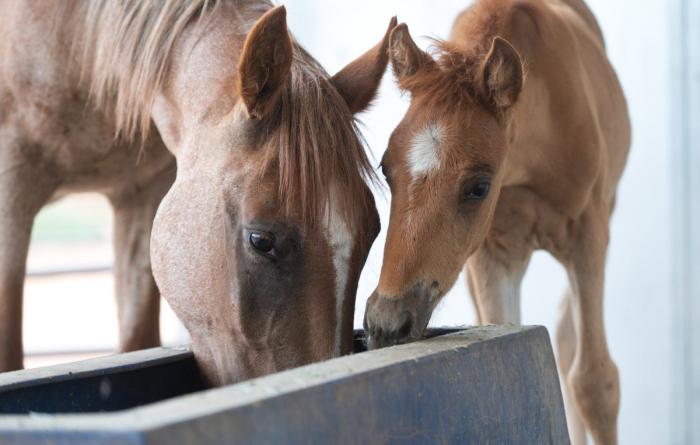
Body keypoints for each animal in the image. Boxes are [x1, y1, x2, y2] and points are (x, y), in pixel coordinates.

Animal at [363, 1, 630, 444]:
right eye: (385, 168)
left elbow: (596, 381)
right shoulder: (492, 253)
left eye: (479, 186)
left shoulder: (588, 235)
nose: (386, 324)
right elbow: (505, 340)